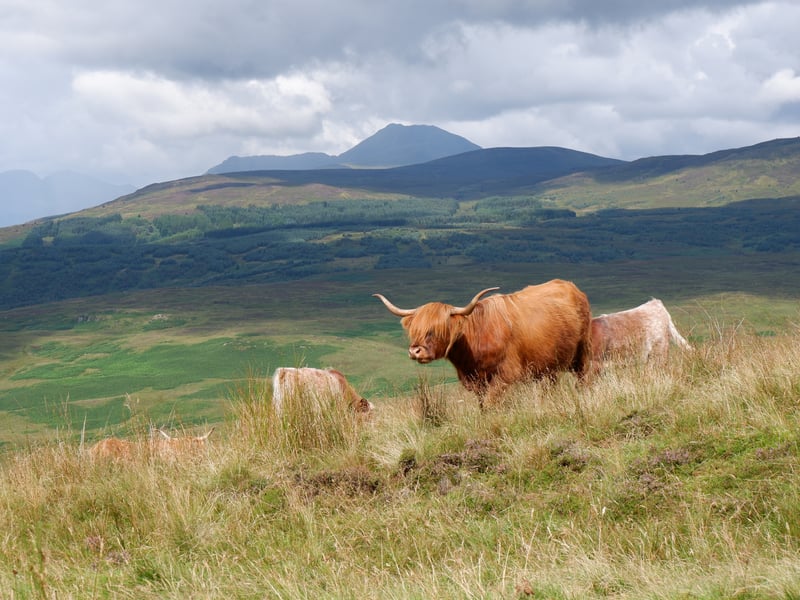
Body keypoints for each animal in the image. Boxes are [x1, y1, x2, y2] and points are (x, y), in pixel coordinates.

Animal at [373, 279, 593, 408]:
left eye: (436, 330)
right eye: (415, 330)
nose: (415, 351)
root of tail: (569, 285)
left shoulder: (505, 376)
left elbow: (490, 404)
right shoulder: (478, 382)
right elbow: (482, 406)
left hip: (582, 351)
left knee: (583, 377)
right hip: (548, 366)